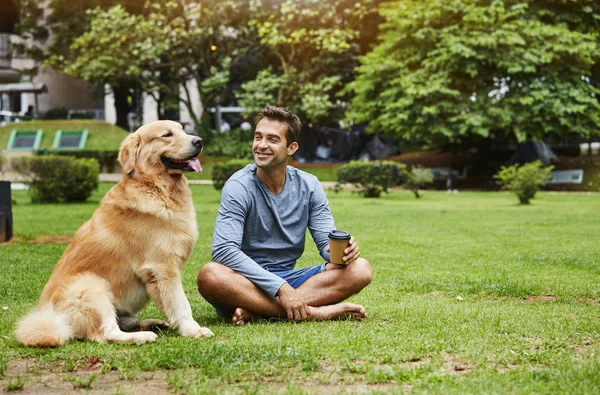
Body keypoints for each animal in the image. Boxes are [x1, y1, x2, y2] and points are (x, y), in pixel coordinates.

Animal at [14, 120, 213, 346]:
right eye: (167, 135)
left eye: (182, 129)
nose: (199, 141)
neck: (156, 187)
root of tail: (52, 319)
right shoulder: (162, 268)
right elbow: (181, 304)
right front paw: (193, 330)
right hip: (92, 285)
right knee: (106, 333)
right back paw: (142, 336)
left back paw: (153, 324)